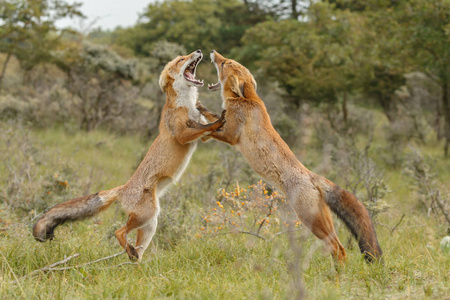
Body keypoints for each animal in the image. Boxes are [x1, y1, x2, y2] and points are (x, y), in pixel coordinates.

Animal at [32, 50, 225, 262]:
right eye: (181, 59)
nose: (198, 51)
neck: (185, 103)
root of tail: (123, 188)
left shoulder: (202, 136)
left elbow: (205, 126)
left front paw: (212, 113)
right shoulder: (181, 134)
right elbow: (205, 126)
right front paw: (219, 120)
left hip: (150, 223)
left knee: (137, 249)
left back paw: (135, 260)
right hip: (147, 215)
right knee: (119, 231)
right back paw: (129, 252)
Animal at [202, 50, 382, 262]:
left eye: (225, 63)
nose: (213, 52)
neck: (247, 99)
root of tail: (311, 176)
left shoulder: (231, 135)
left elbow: (211, 124)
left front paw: (200, 123)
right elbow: (212, 118)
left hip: (309, 220)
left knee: (337, 249)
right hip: (321, 220)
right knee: (341, 249)